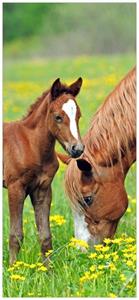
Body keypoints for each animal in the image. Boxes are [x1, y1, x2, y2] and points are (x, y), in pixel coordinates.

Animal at [3, 76, 84, 264]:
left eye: (78, 115)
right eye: (58, 117)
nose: (77, 149)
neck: (30, 145)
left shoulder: (43, 189)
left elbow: (45, 236)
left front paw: (48, 269)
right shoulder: (15, 188)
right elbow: (15, 235)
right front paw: (12, 268)